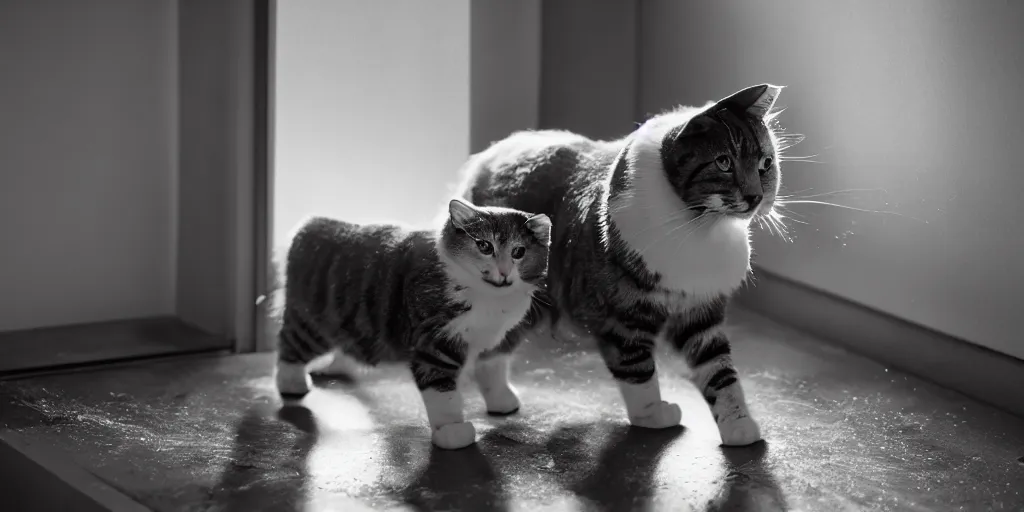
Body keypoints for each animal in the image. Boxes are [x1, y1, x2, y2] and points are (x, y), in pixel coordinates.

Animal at [274, 197, 552, 450]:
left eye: (519, 252)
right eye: (484, 245)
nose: (504, 272)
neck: (489, 300)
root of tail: (315, 224)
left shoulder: (497, 340)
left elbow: (493, 371)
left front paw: (501, 399)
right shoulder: (434, 344)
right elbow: (442, 392)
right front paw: (452, 431)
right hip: (312, 323)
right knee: (291, 344)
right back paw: (292, 383)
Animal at [456, 82, 782, 444]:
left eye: (766, 164)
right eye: (724, 162)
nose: (755, 197)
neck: (699, 224)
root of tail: (485, 158)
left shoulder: (700, 312)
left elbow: (720, 373)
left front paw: (738, 426)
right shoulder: (622, 318)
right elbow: (638, 370)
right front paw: (652, 416)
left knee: (492, 351)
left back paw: (501, 401)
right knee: (486, 350)